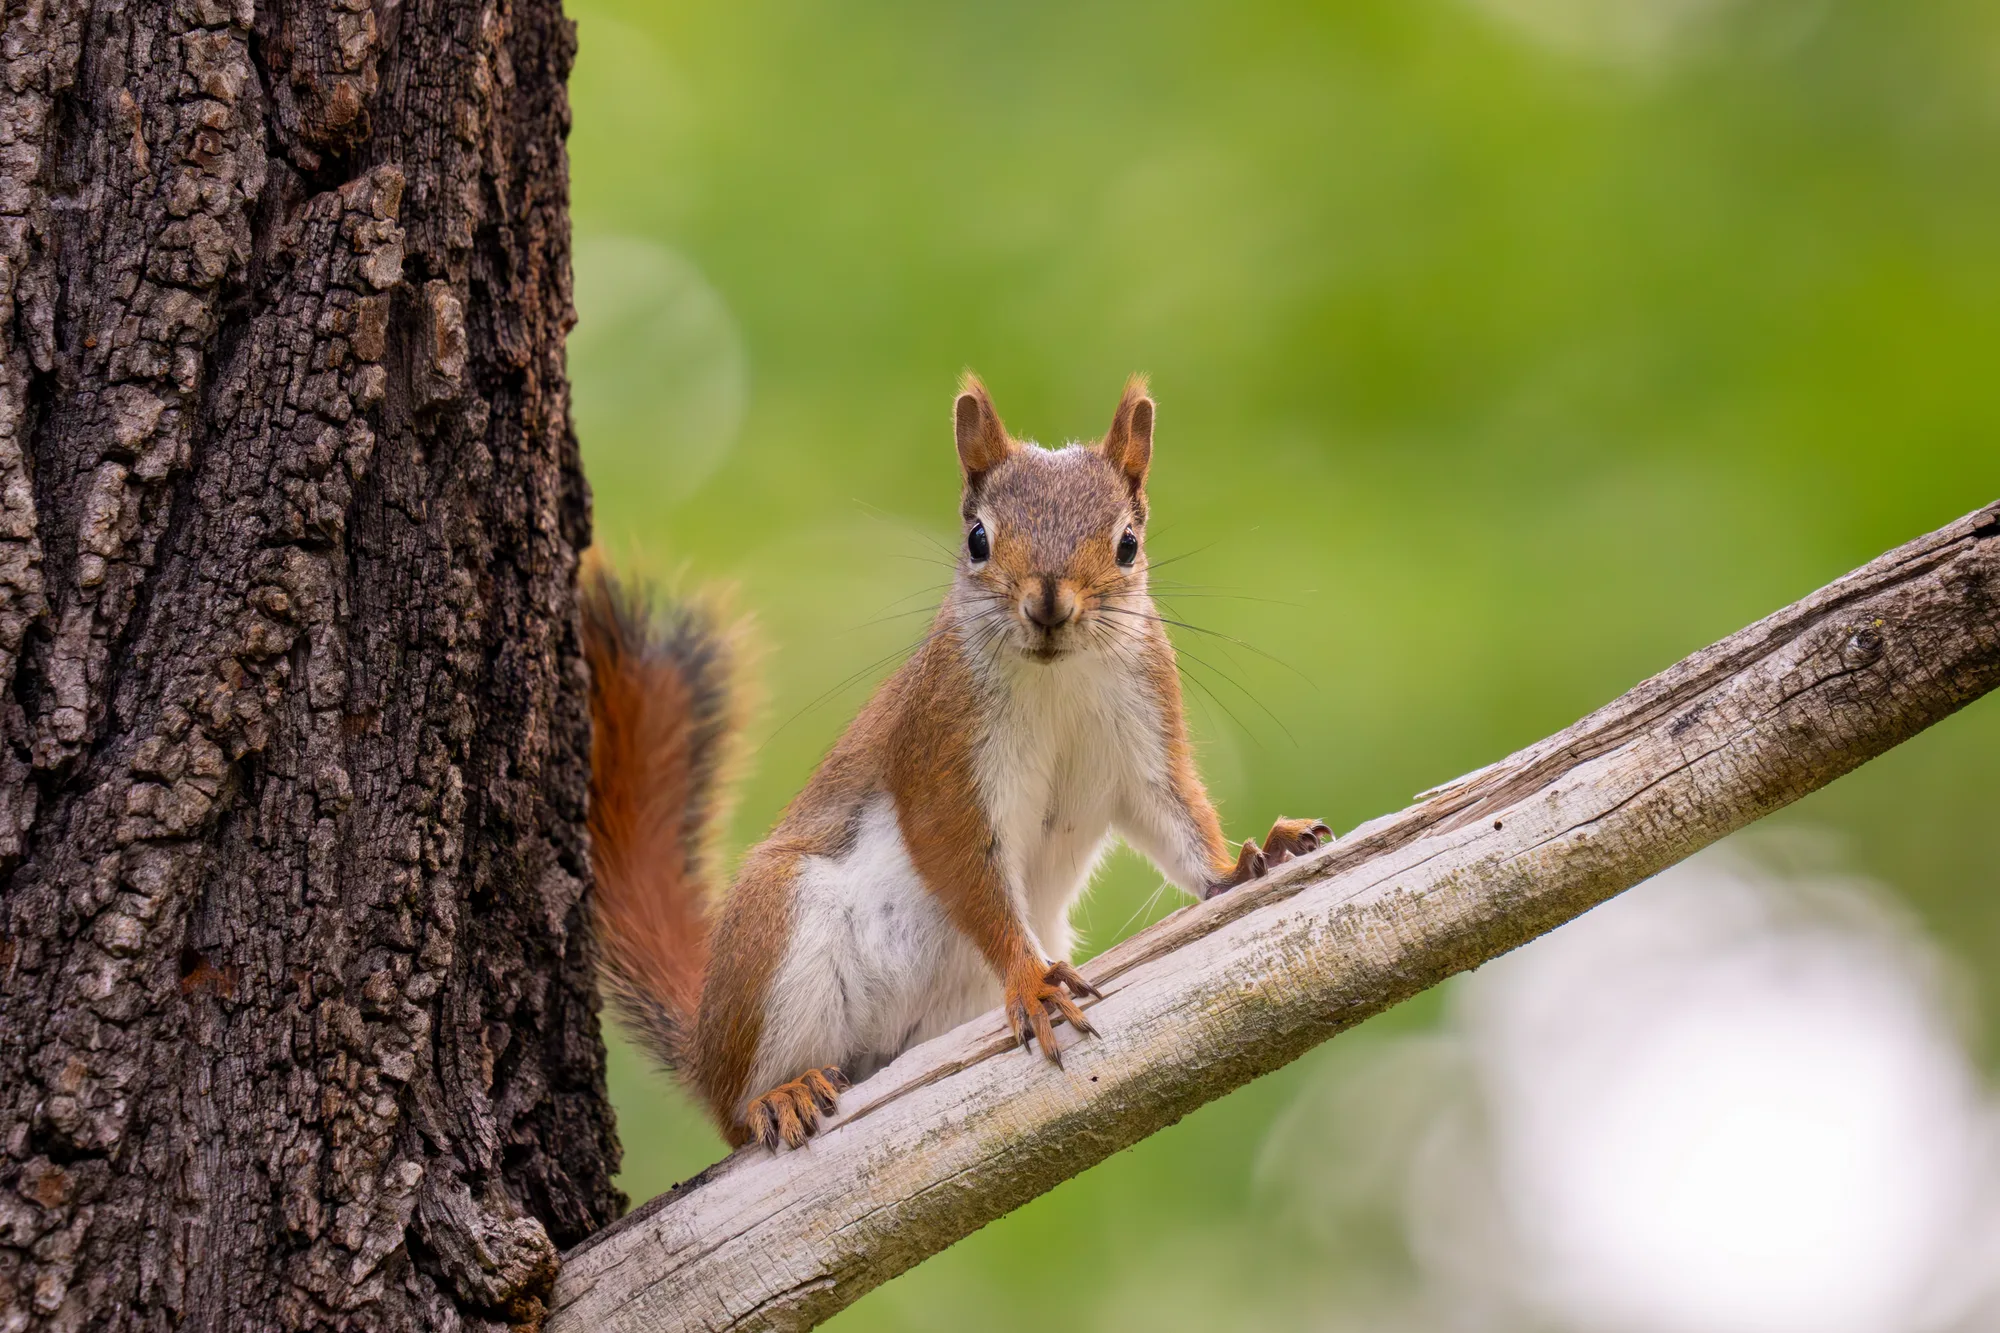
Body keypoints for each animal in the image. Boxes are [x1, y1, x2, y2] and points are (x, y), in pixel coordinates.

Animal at [581, 374, 1331, 1152]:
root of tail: (704, 1044)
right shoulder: (940, 750)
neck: (1057, 679)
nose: (1049, 602)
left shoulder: (1146, 738)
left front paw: (1249, 858)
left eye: (1128, 544)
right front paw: (1030, 979)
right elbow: (961, 862)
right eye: (978, 539)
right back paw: (778, 1095)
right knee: (737, 1110)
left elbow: (1175, 818)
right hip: (774, 930)